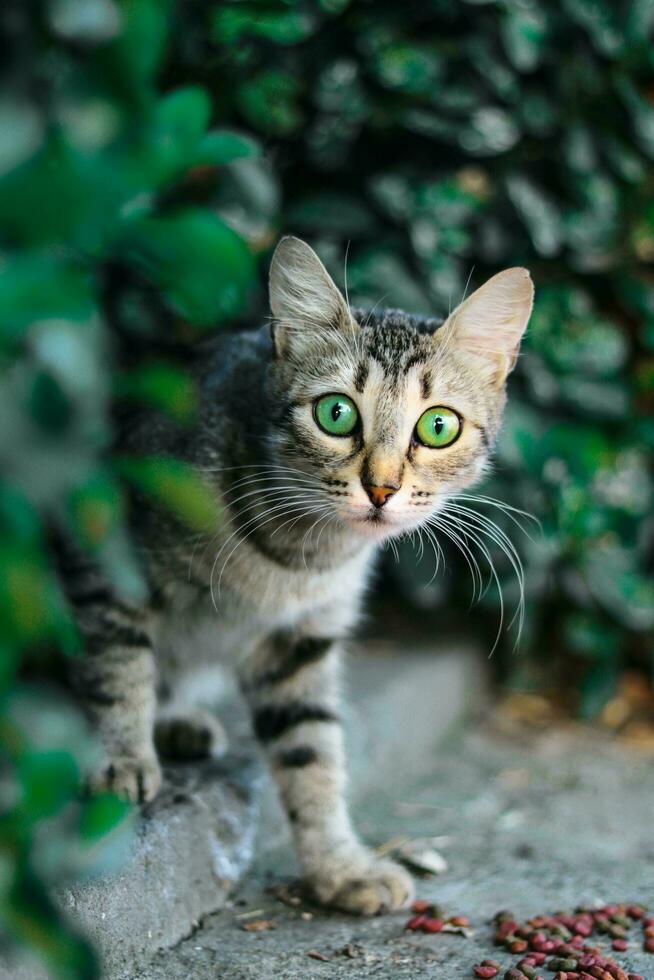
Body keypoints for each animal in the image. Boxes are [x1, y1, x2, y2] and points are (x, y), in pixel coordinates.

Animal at [64, 239, 536, 920]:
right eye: (336, 413)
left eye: (438, 426)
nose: (382, 488)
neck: (300, 558)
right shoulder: (105, 548)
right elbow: (114, 664)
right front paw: (118, 757)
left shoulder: (302, 641)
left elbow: (313, 753)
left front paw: (339, 865)